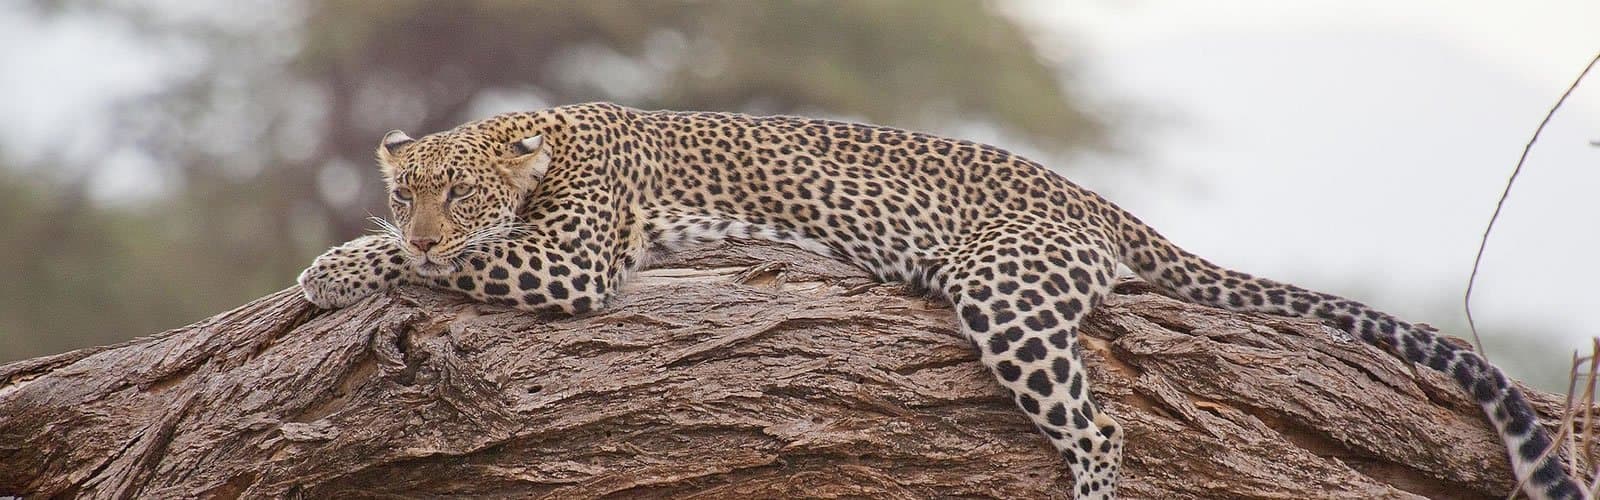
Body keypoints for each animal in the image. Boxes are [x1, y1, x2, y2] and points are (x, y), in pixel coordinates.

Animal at [298, 102, 1583, 499]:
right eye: (409, 188)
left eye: (459, 195)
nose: (418, 218)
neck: (545, 144)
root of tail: (1092, 199)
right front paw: (349, 253)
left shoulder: (568, 259)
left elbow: (441, 267)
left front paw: (335, 267)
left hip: (1002, 289)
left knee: (1099, 420)